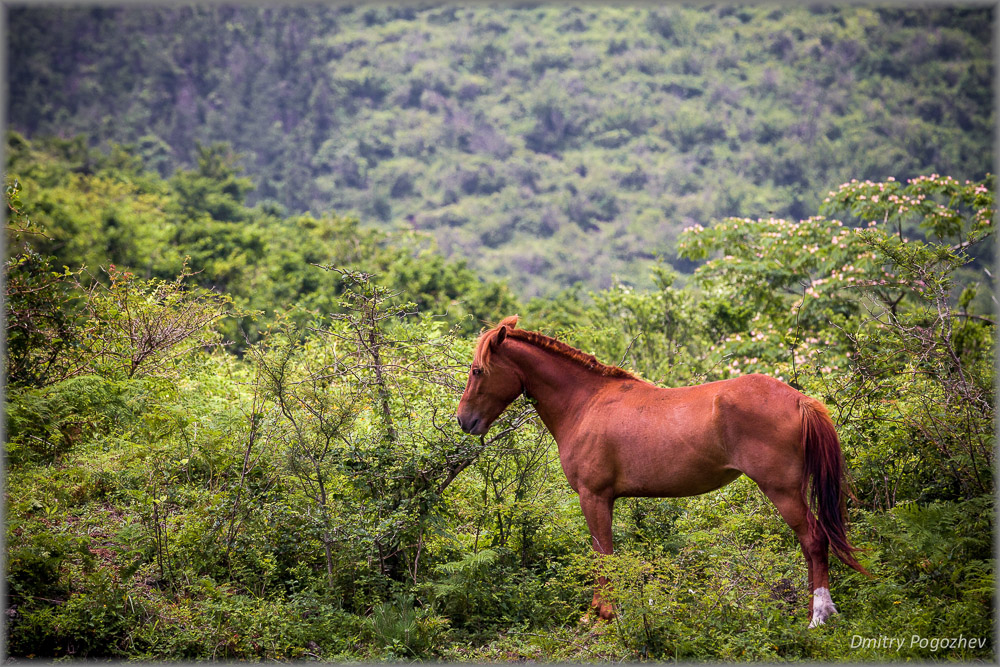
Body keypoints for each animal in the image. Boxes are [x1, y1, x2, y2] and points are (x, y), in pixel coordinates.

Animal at [458, 316, 864, 628]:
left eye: (478, 370)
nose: (464, 420)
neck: (586, 403)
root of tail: (798, 399)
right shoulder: (604, 500)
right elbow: (606, 554)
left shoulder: (594, 496)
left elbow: (603, 554)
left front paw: (603, 615)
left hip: (782, 490)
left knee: (813, 540)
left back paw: (818, 617)